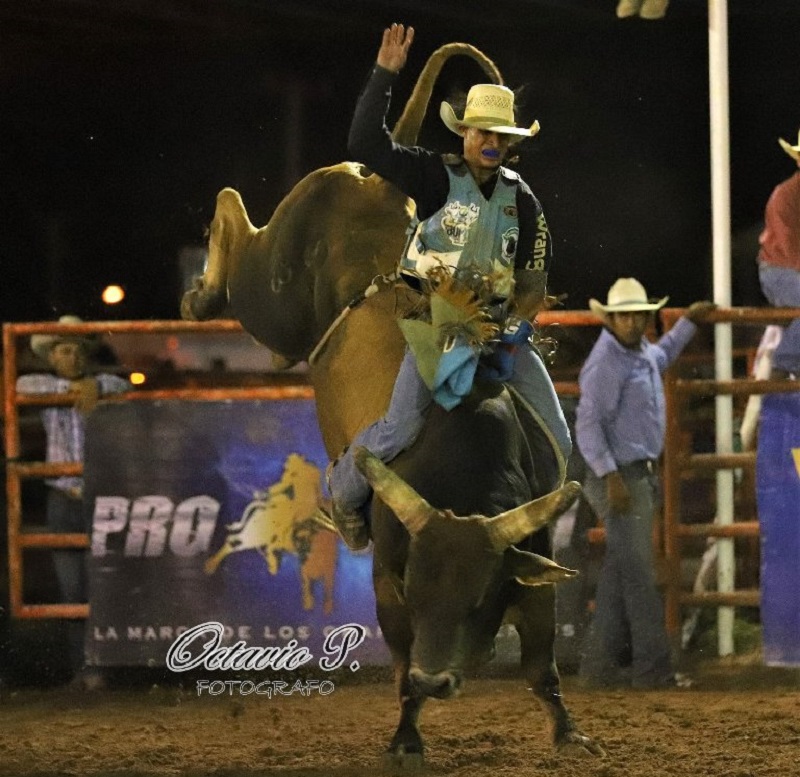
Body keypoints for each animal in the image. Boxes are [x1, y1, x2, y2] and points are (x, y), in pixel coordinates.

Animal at [183, 41, 600, 764]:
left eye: (477, 598)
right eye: (418, 588)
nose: (440, 679)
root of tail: (379, 175)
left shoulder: (533, 553)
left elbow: (541, 658)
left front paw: (568, 729)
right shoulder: (387, 572)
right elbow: (400, 660)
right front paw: (407, 732)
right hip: (275, 285)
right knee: (235, 223)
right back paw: (201, 290)